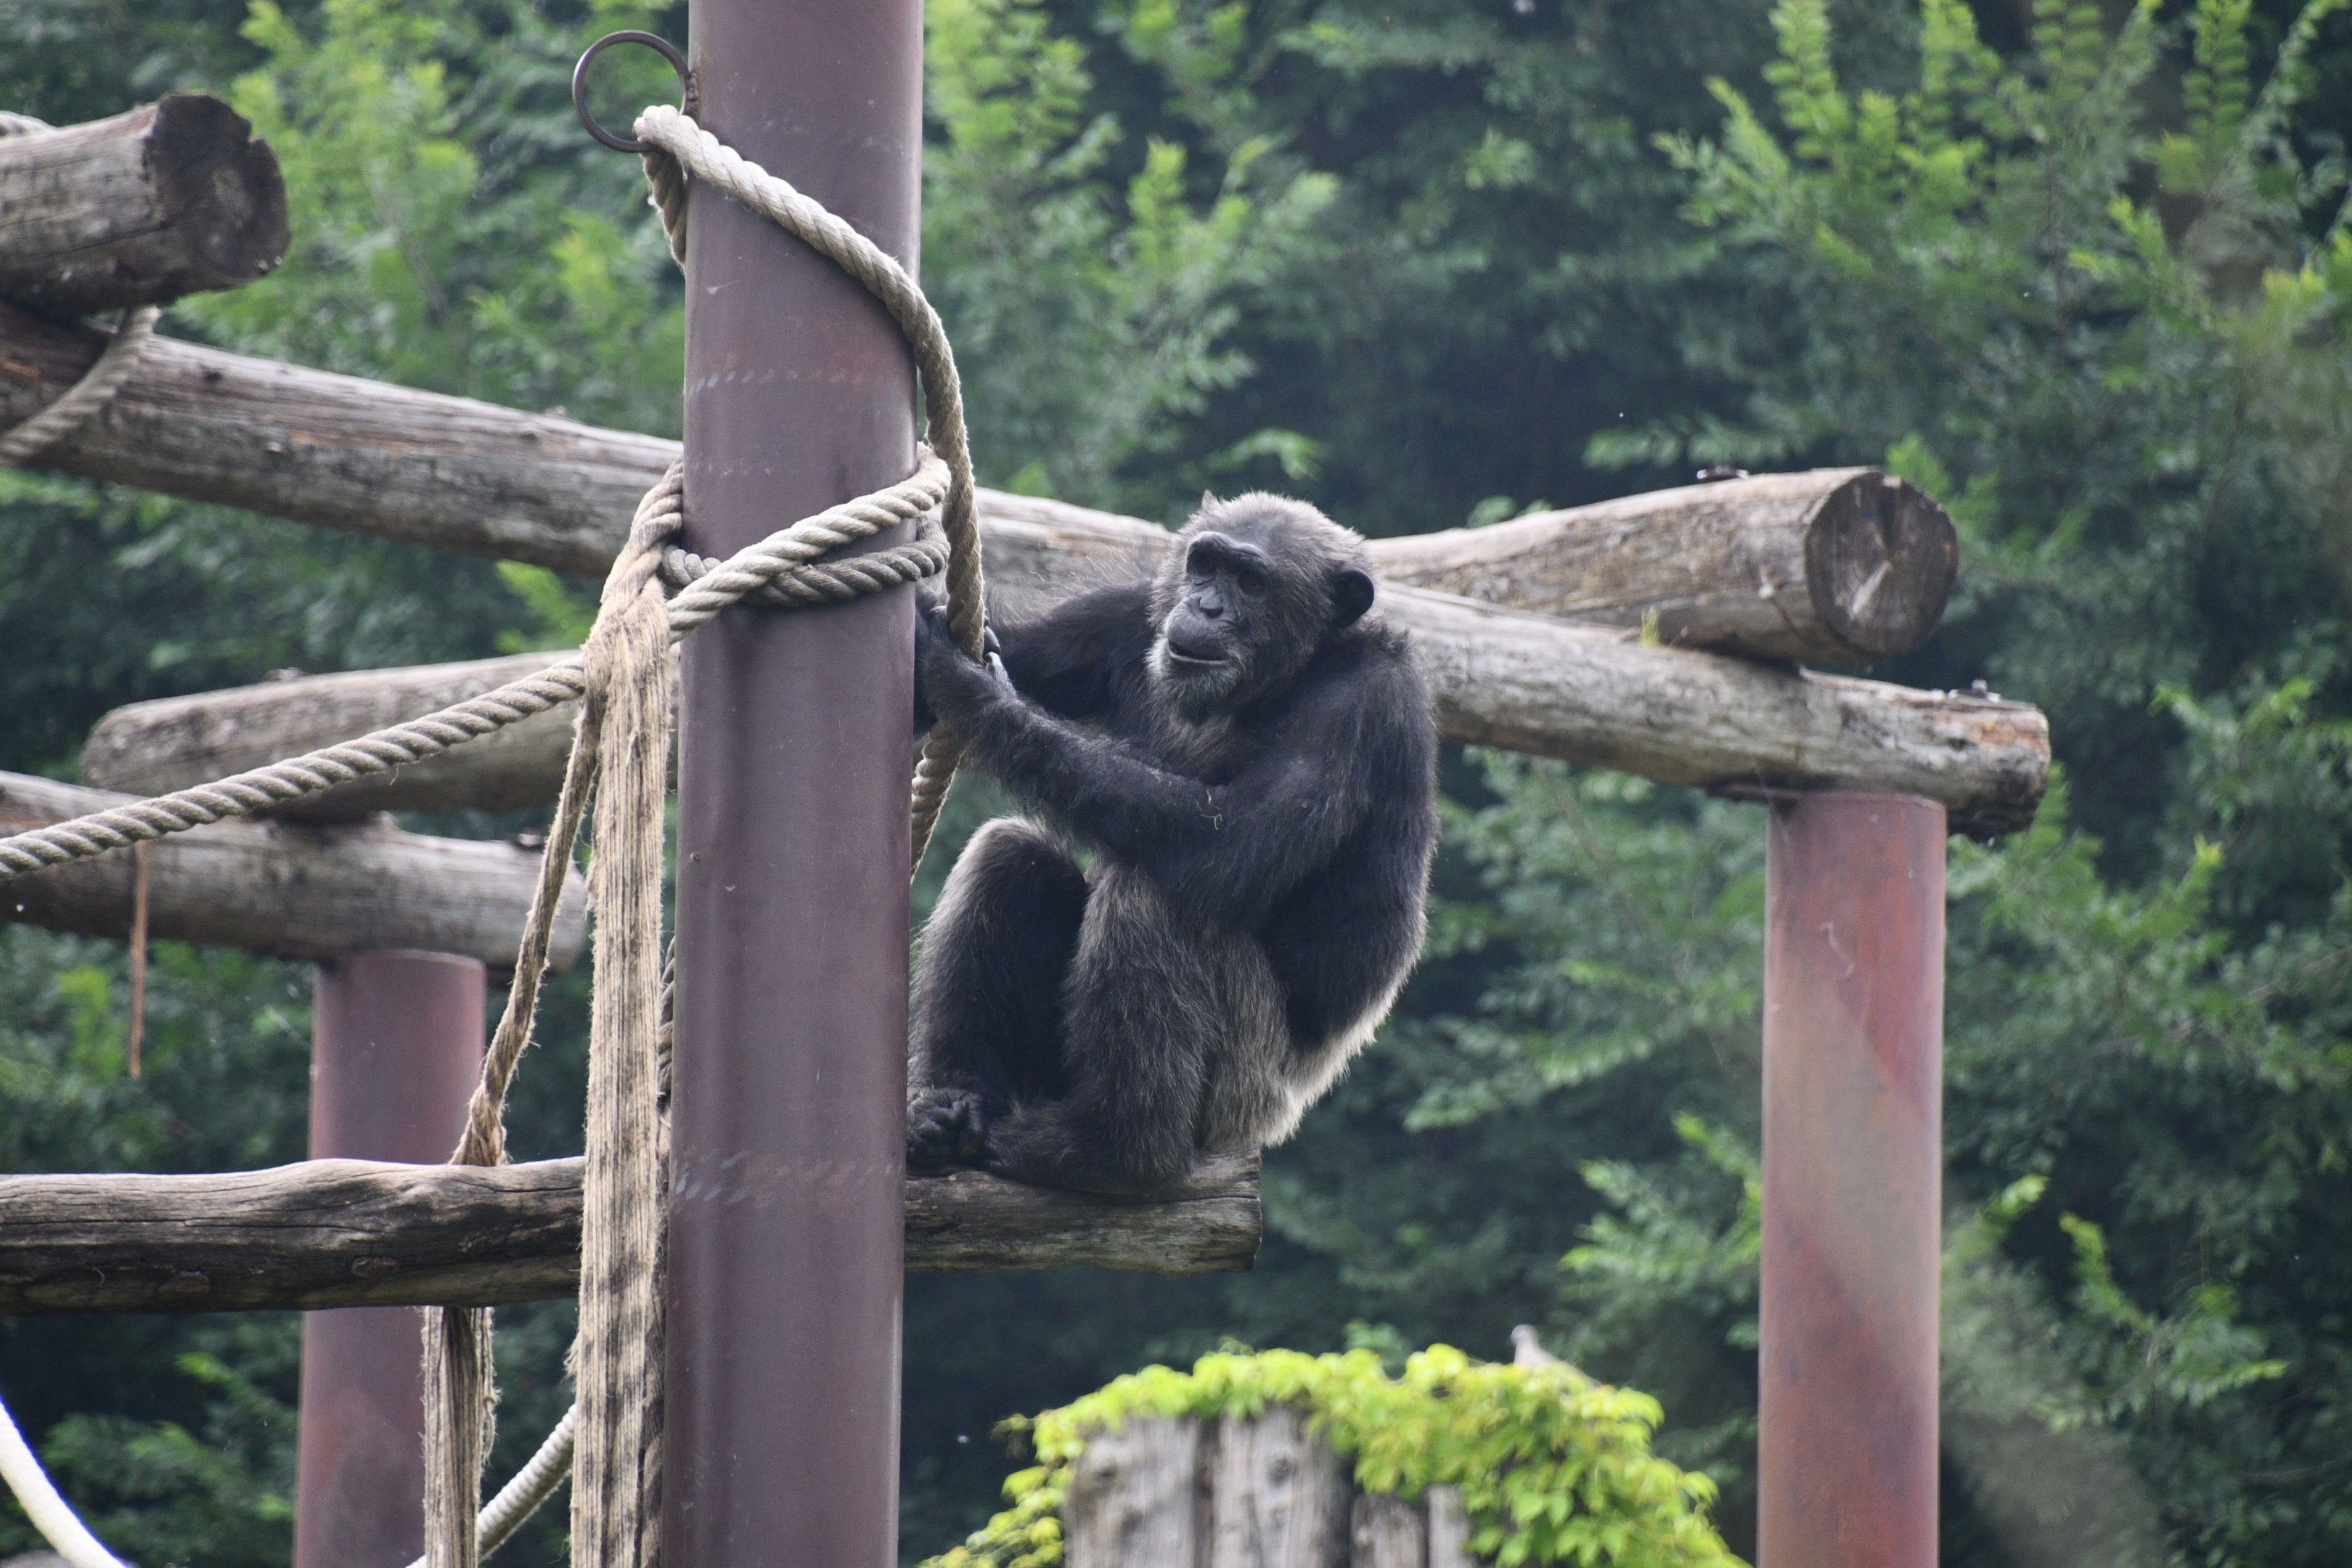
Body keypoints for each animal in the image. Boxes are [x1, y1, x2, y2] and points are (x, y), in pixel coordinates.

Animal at [905, 491, 1439, 1195]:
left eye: (1251, 582)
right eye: (1206, 564)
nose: (1207, 606)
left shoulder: (1361, 707)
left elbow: (1228, 842)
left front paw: (968, 683)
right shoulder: (1121, 614)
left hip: (1239, 1094)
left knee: (1149, 896)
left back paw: (1109, 1151)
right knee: (1009, 855)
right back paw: (950, 1108)